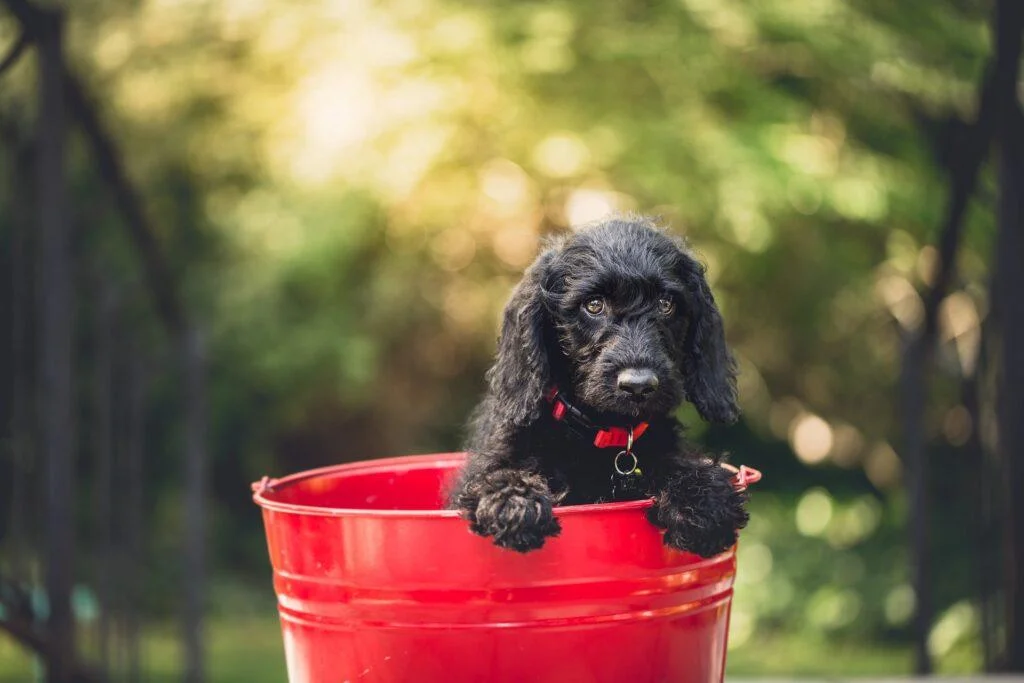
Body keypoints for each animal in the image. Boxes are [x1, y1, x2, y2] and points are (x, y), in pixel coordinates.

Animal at [452, 216, 749, 557]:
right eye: (593, 305)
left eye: (666, 304)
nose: (638, 386)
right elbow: (495, 475)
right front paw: (514, 502)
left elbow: (680, 464)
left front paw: (703, 499)